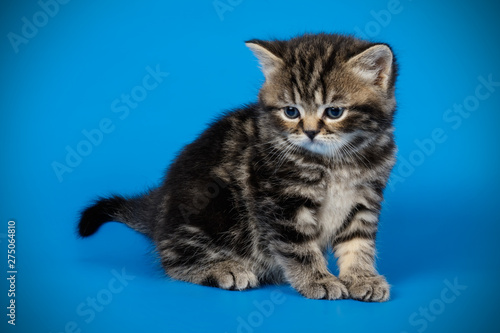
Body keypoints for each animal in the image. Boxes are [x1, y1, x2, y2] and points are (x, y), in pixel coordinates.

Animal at [79, 33, 398, 300]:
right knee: (173, 259)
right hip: (210, 205)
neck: (335, 161)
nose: (309, 132)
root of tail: (159, 211)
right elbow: (298, 247)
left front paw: (362, 277)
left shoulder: (366, 196)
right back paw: (222, 268)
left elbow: (358, 241)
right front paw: (317, 279)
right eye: (291, 111)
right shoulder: (280, 202)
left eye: (334, 112)